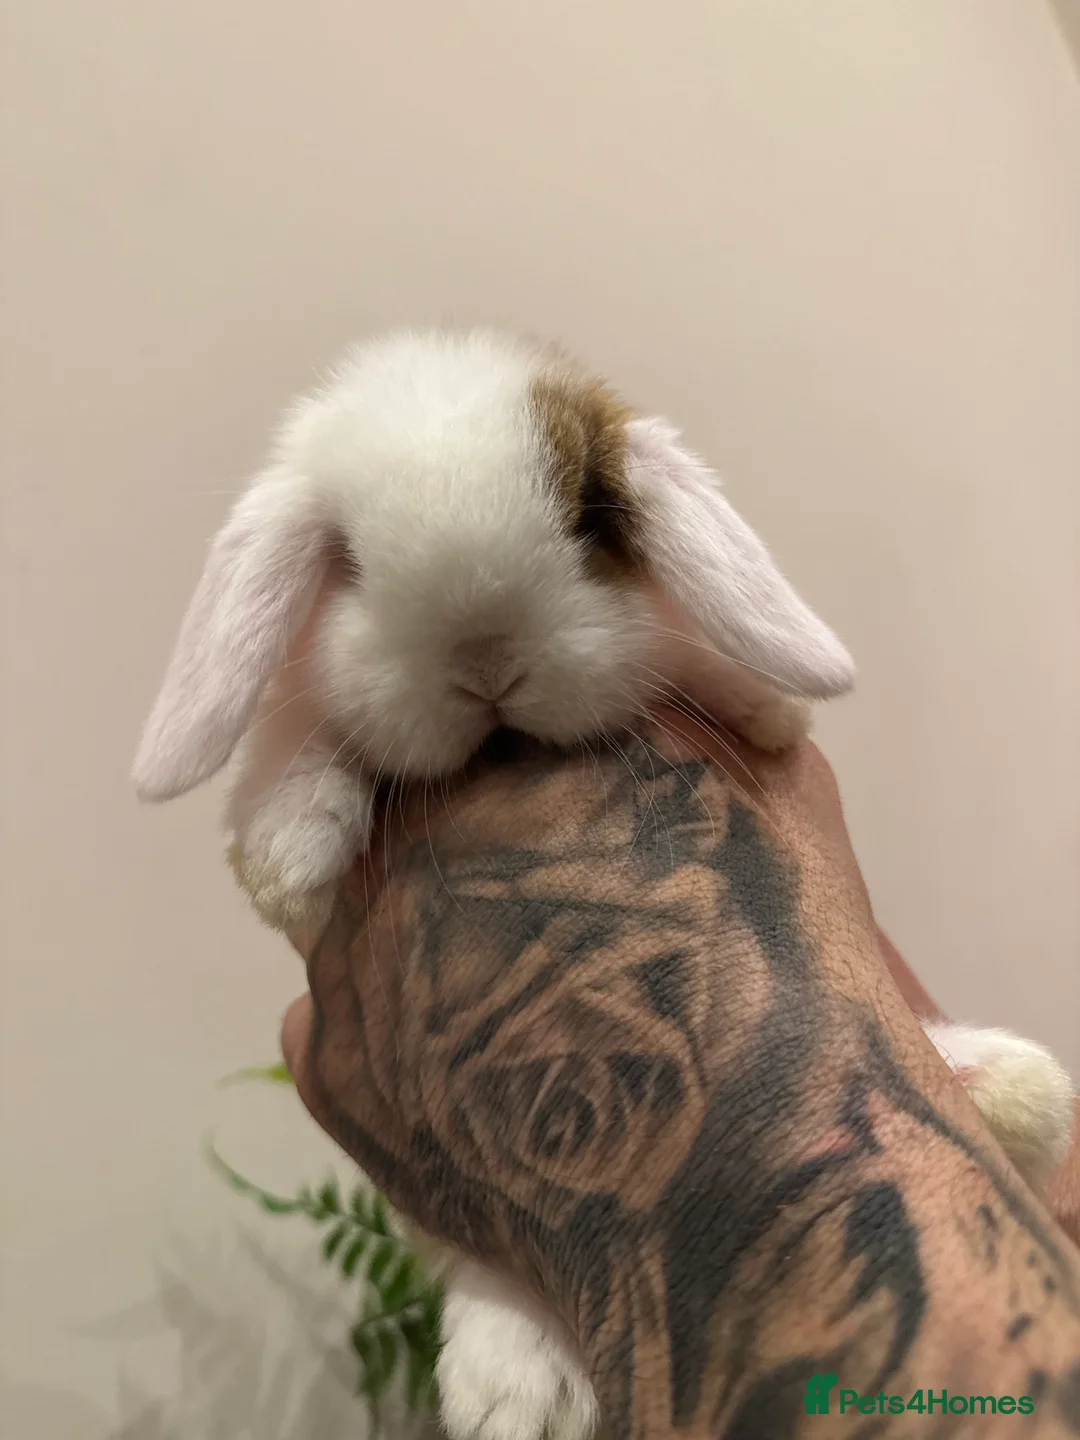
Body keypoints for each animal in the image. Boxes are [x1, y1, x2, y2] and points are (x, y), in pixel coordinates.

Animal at [133, 329, 1074, 1440]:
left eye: (588, 514)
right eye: (350, 564)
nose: (483, 661)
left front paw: (766, 706)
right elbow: (291, 758)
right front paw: (291, 857)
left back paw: (1009, 1089)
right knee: (473, 1252)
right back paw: (513, 1389)